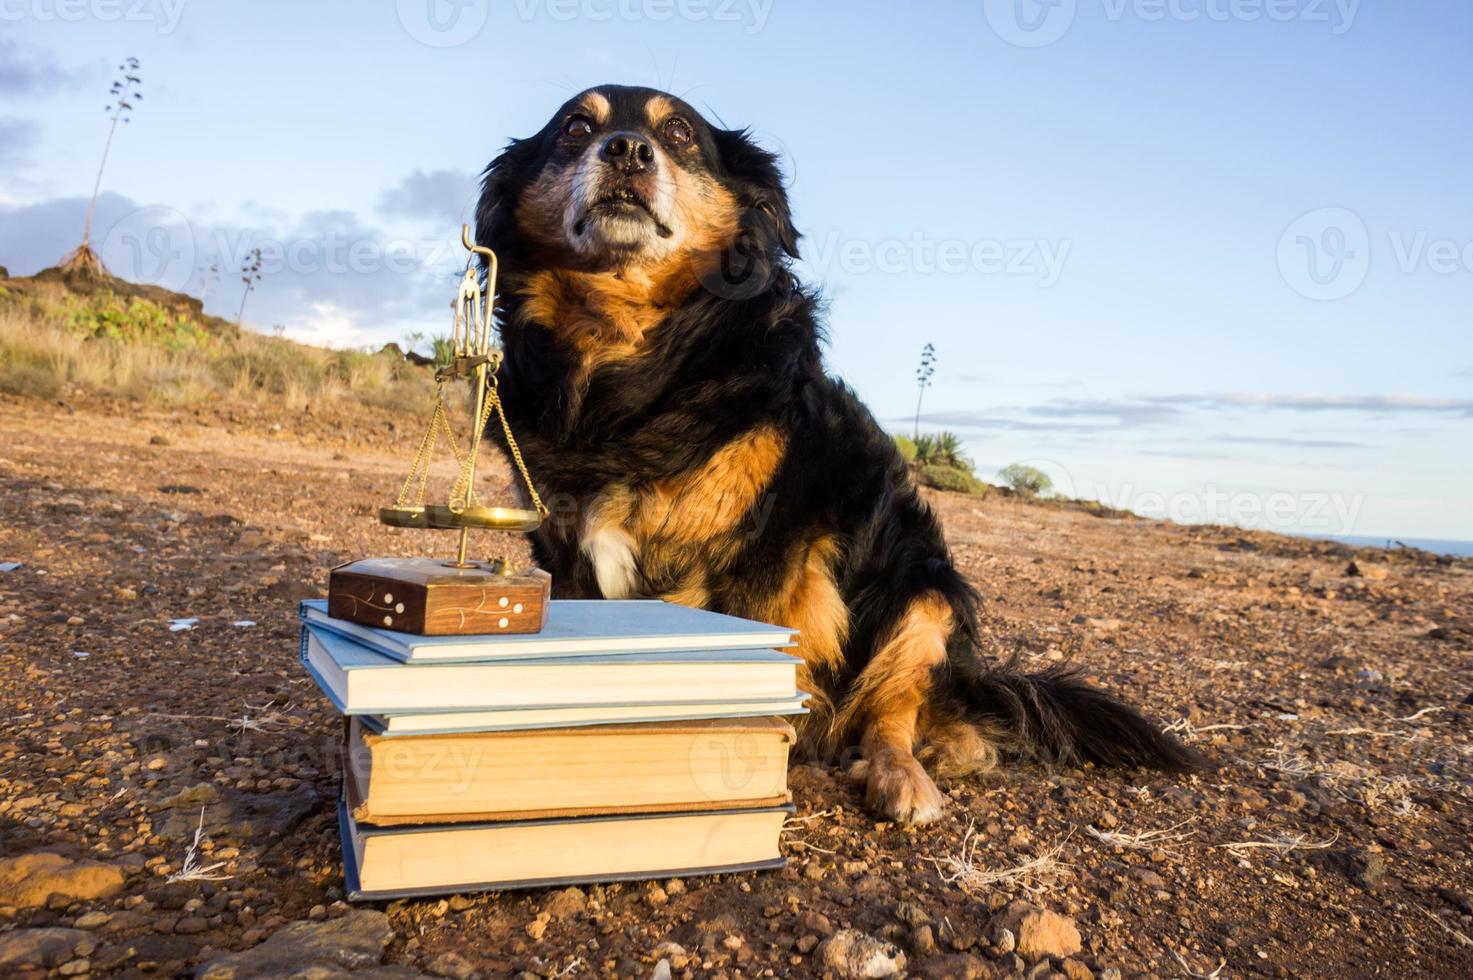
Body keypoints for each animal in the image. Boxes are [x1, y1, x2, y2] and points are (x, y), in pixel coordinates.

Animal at [477, 84, 1201, 819]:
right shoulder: (563, 548)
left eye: (678, 132)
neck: (627, 358)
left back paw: (908, 771)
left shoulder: (767, 555)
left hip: (923, 591)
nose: (626, 149)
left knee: (896, 711)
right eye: (575, 128)